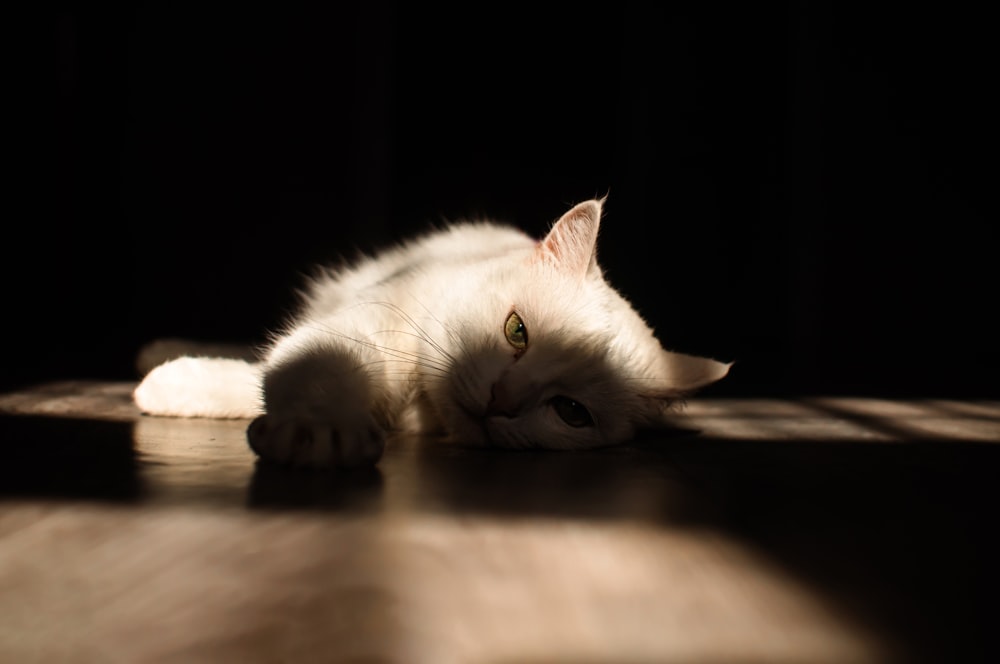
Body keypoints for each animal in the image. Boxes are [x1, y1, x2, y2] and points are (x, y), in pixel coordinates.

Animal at [135, 197, 728, 466]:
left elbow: (268, 371)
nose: (501, 401)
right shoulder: (353, 330)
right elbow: (307, 372)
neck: (415, 405)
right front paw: (318, 428)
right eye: (517, 332)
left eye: (571, 412)